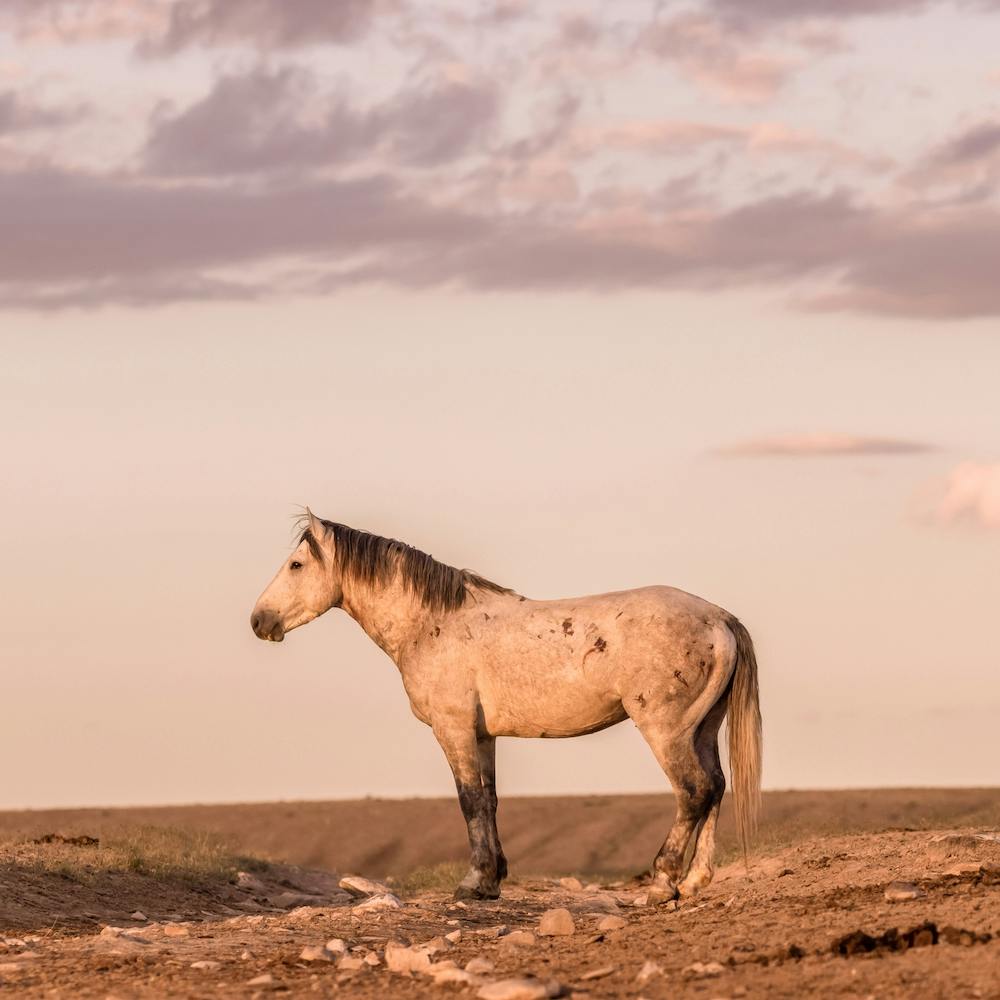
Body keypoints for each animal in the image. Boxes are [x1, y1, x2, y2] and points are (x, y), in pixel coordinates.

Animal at [250, 509, 762, 902]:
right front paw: (492, 880)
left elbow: (469, 800)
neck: (432, 624)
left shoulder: (453, 729)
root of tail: (719, 619)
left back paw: (663, 883)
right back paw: (695, 881)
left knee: (693, 791)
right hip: (702, 729)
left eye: (296, 564)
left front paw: (473, 882)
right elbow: (490, 800)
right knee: (716, 787)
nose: (259, 620)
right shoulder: (483, 735)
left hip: (665, 730)